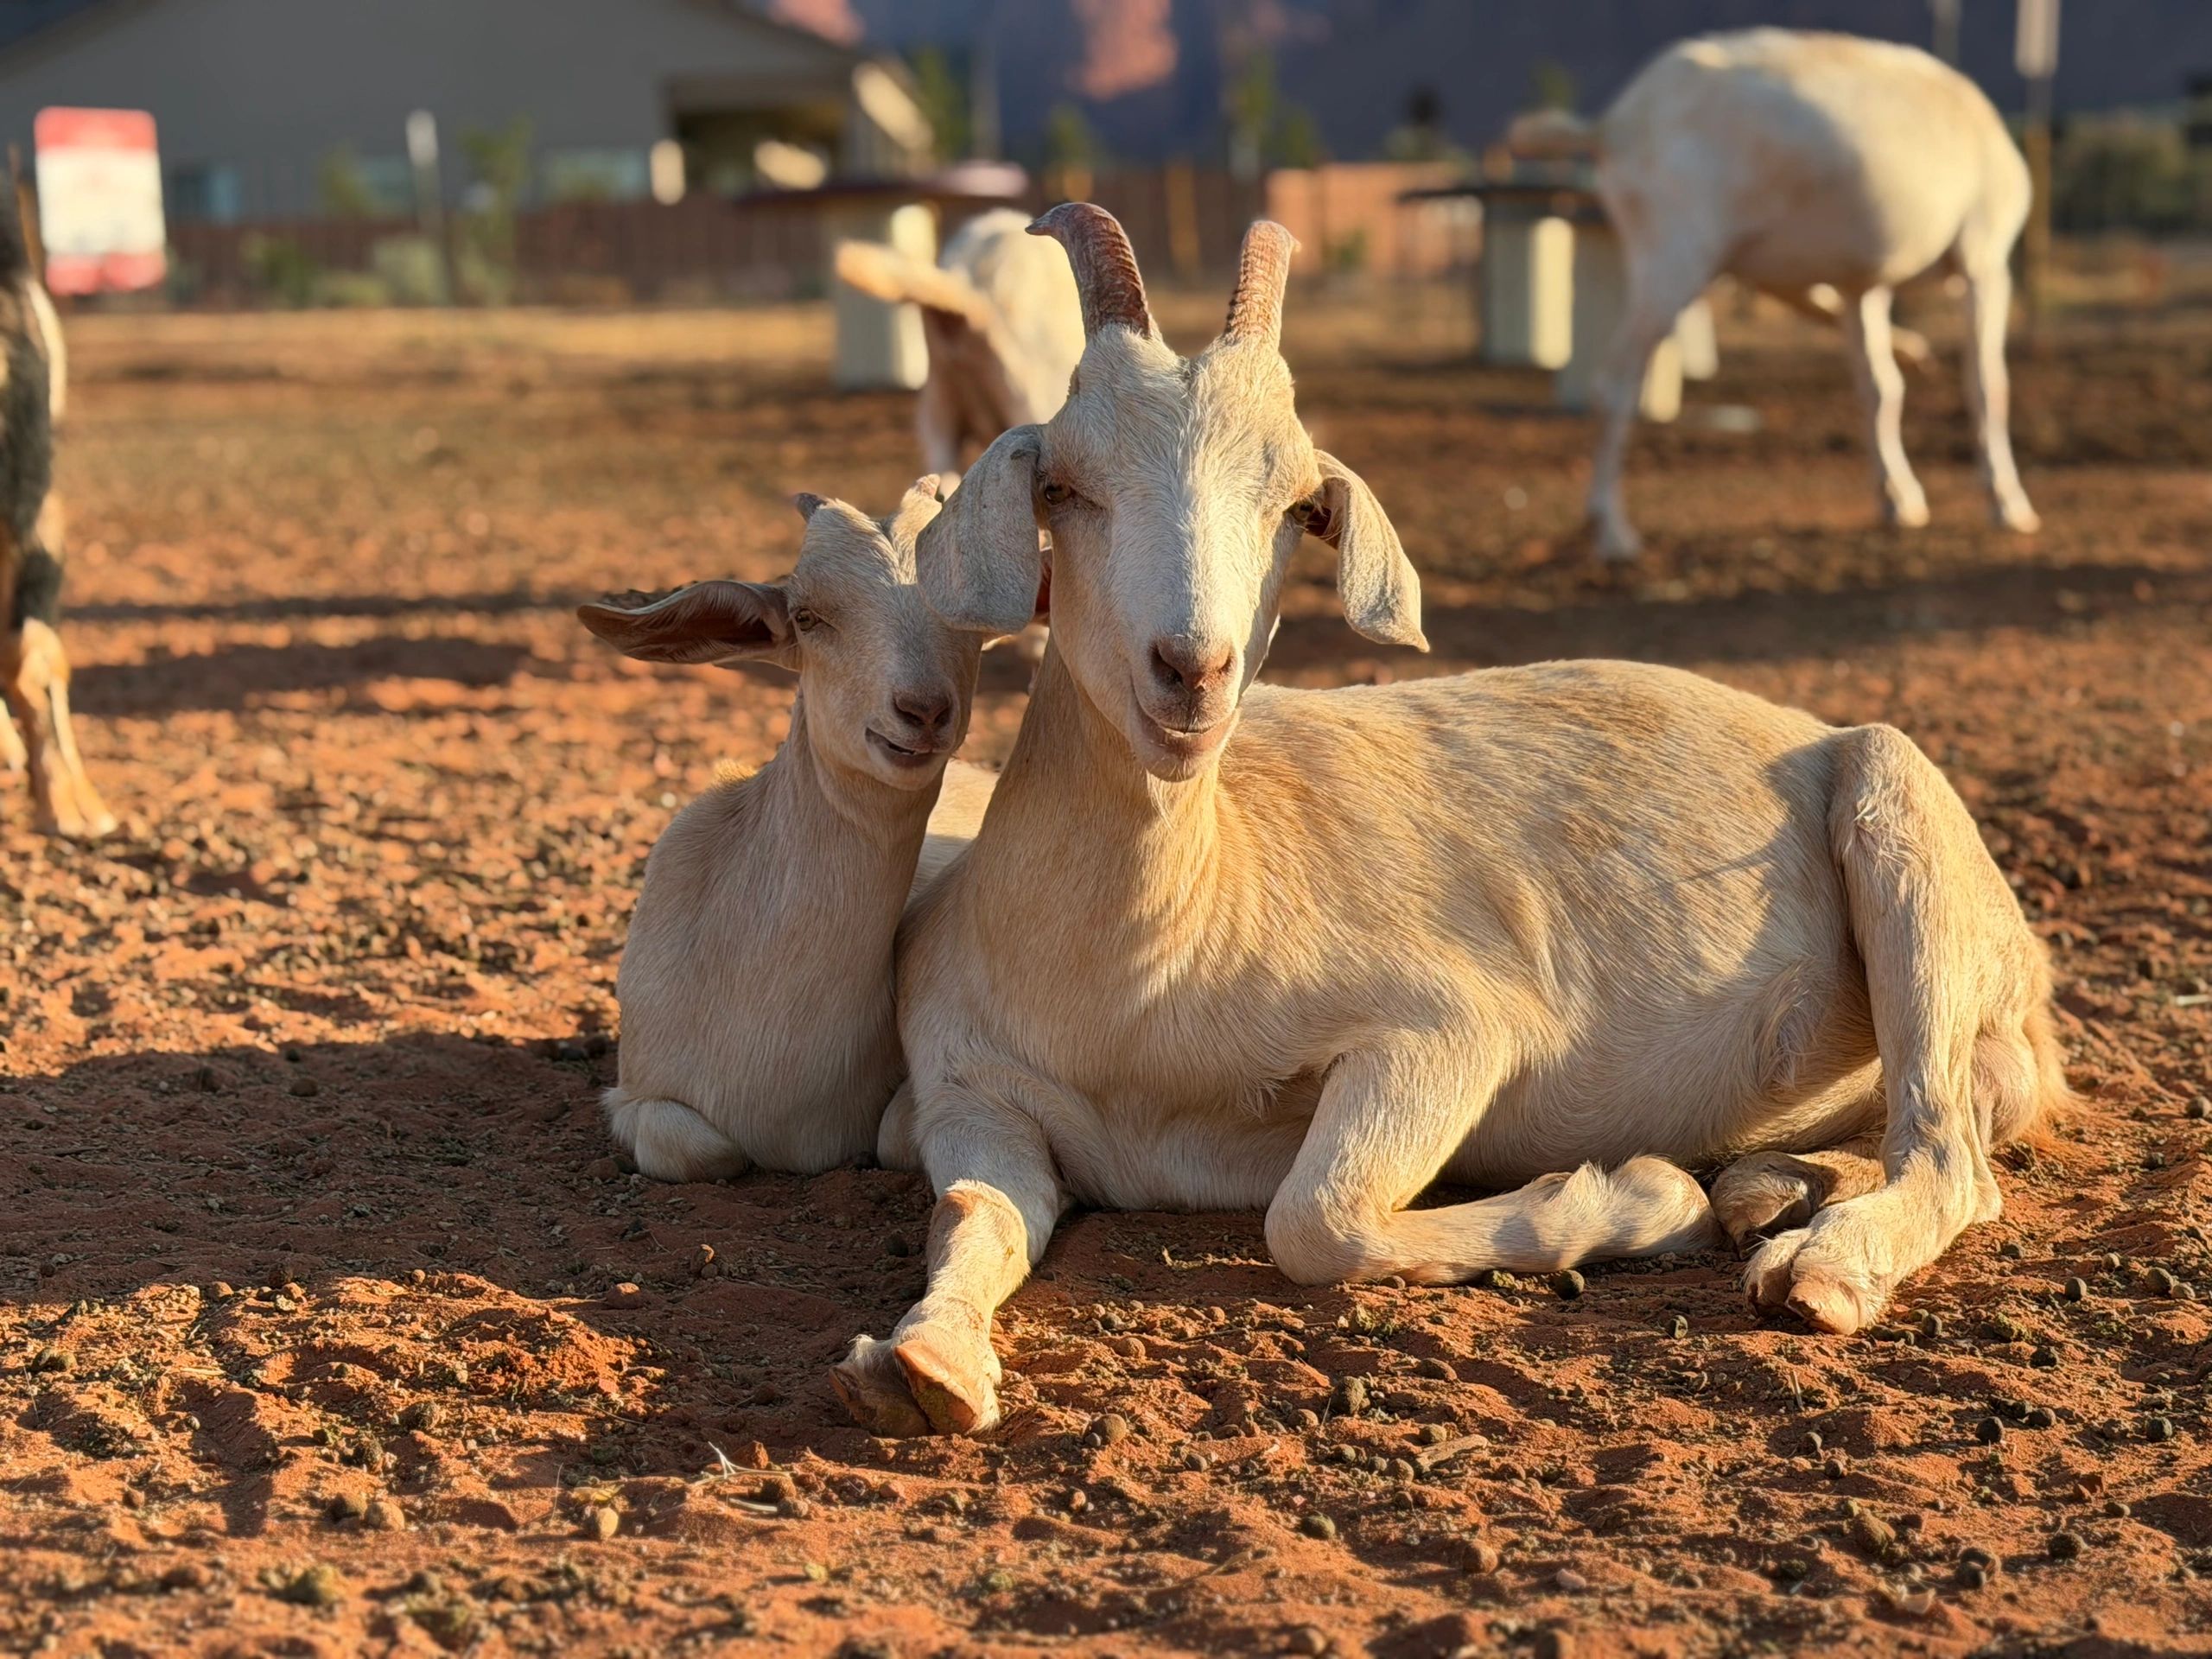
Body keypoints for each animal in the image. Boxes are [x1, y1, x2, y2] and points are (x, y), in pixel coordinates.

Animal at [576, 478, 996, 1179]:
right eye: (806, 616)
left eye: (977, 622)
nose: (923, 710)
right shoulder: (635, 1089)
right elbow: (703, 1149)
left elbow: (894, 1138)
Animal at [831, 206, 2066, 1437]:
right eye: (1067, 487)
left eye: (1298, 508)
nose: (1191, 671)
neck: (1145, 968)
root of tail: (2032, 992)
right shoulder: (970, 1095)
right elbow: (976, 1212)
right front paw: (922, 1364)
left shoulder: (1447, 1026)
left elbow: (1314, 1218)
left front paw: (1643, 1194)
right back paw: (1769, 1194)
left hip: (1899, 819)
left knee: (1951, 1156)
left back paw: (1815, 1266)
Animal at [1584, 28, 2040, 559]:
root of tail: (1616, 127)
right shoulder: (1984, 260)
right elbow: (1988, 385)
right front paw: (2008, 503)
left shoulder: (1860, 286)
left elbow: (1881, 388)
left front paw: (1898, 499)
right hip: (1673, 265)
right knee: (1615, 382)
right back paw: (1612, 530)